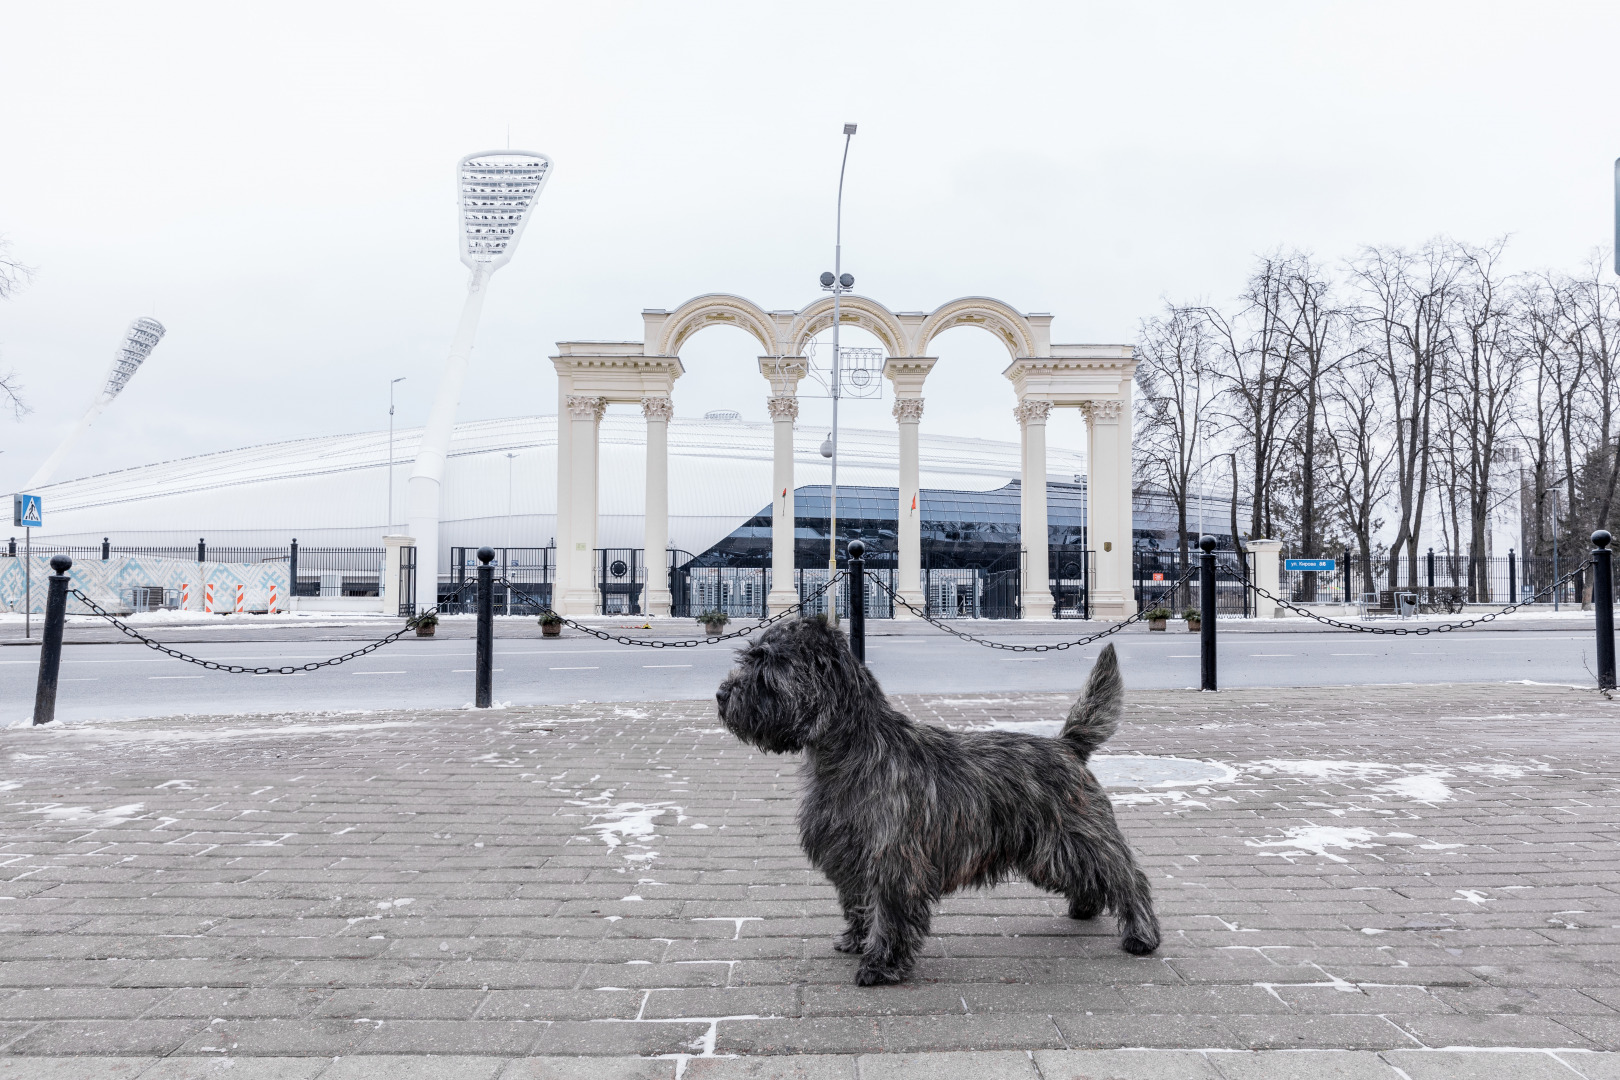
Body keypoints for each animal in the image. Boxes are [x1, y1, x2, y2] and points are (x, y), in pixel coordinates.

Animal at [716, 625, 1159, 990]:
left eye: (768, 664)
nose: (722, 694)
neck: (845, 755)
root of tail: (1068, 745)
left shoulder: (892, 861)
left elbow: (888, 914)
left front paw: (881, 965)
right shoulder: (850, 859)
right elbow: (859, 906)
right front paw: (857, 941)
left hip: (1082, 835)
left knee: (1127, 877)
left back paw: (1142, 935)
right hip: (1049, 852)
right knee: (1088, 875)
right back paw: (1085, 907)